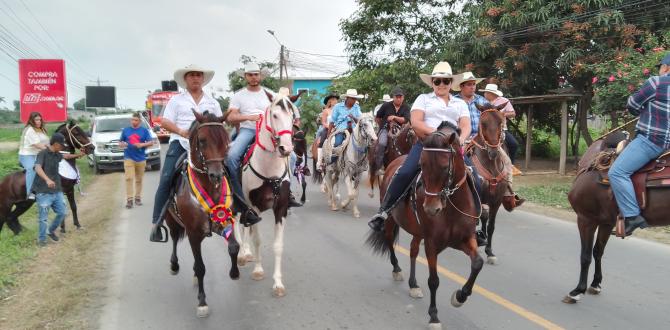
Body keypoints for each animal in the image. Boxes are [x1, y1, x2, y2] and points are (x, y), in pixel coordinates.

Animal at [164, 111, 240, 318]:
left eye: (226, 141)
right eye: (203, 140)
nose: (217, 175)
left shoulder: (223, 220)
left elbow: (234, 247)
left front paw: (234, 273)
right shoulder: (192, 233)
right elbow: (200, 267)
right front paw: (202, 302)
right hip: (172, 222)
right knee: (174, 238)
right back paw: (174, 266)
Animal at [238, 89, 298, 298]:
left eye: (293, 116)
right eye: (275, 115)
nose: (286, 148)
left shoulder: (281, 208)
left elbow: (278, 246)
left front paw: (278, 283)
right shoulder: (254, 208)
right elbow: (257, 239)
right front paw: (258, 270)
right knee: (239, 224)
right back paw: (242, 254)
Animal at [364, 122, 486, 328]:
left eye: (445, 167)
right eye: (422, 165)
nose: (431, 208)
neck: (451, 206)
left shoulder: (464, 239)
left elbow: (477, 263)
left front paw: (460, 297)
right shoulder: (431, 243)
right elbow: (434, 280)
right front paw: (434, 316)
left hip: (417, 231)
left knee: (413, 250)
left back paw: (413, 285)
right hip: (391, 221)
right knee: (389, 240)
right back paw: (397, 270)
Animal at [468, 102, 516, 264]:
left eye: (501, 122)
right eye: (483, 123)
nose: (493, 152)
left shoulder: (496, 200)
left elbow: (491, 225)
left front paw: (489, 251)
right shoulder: (476, 198)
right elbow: (478, 218)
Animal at [560, 133, 670, 304]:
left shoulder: (586, 219)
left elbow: (585, 256)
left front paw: (577, 291)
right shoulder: (606, 222)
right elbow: (598, 251)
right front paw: (595, 284)